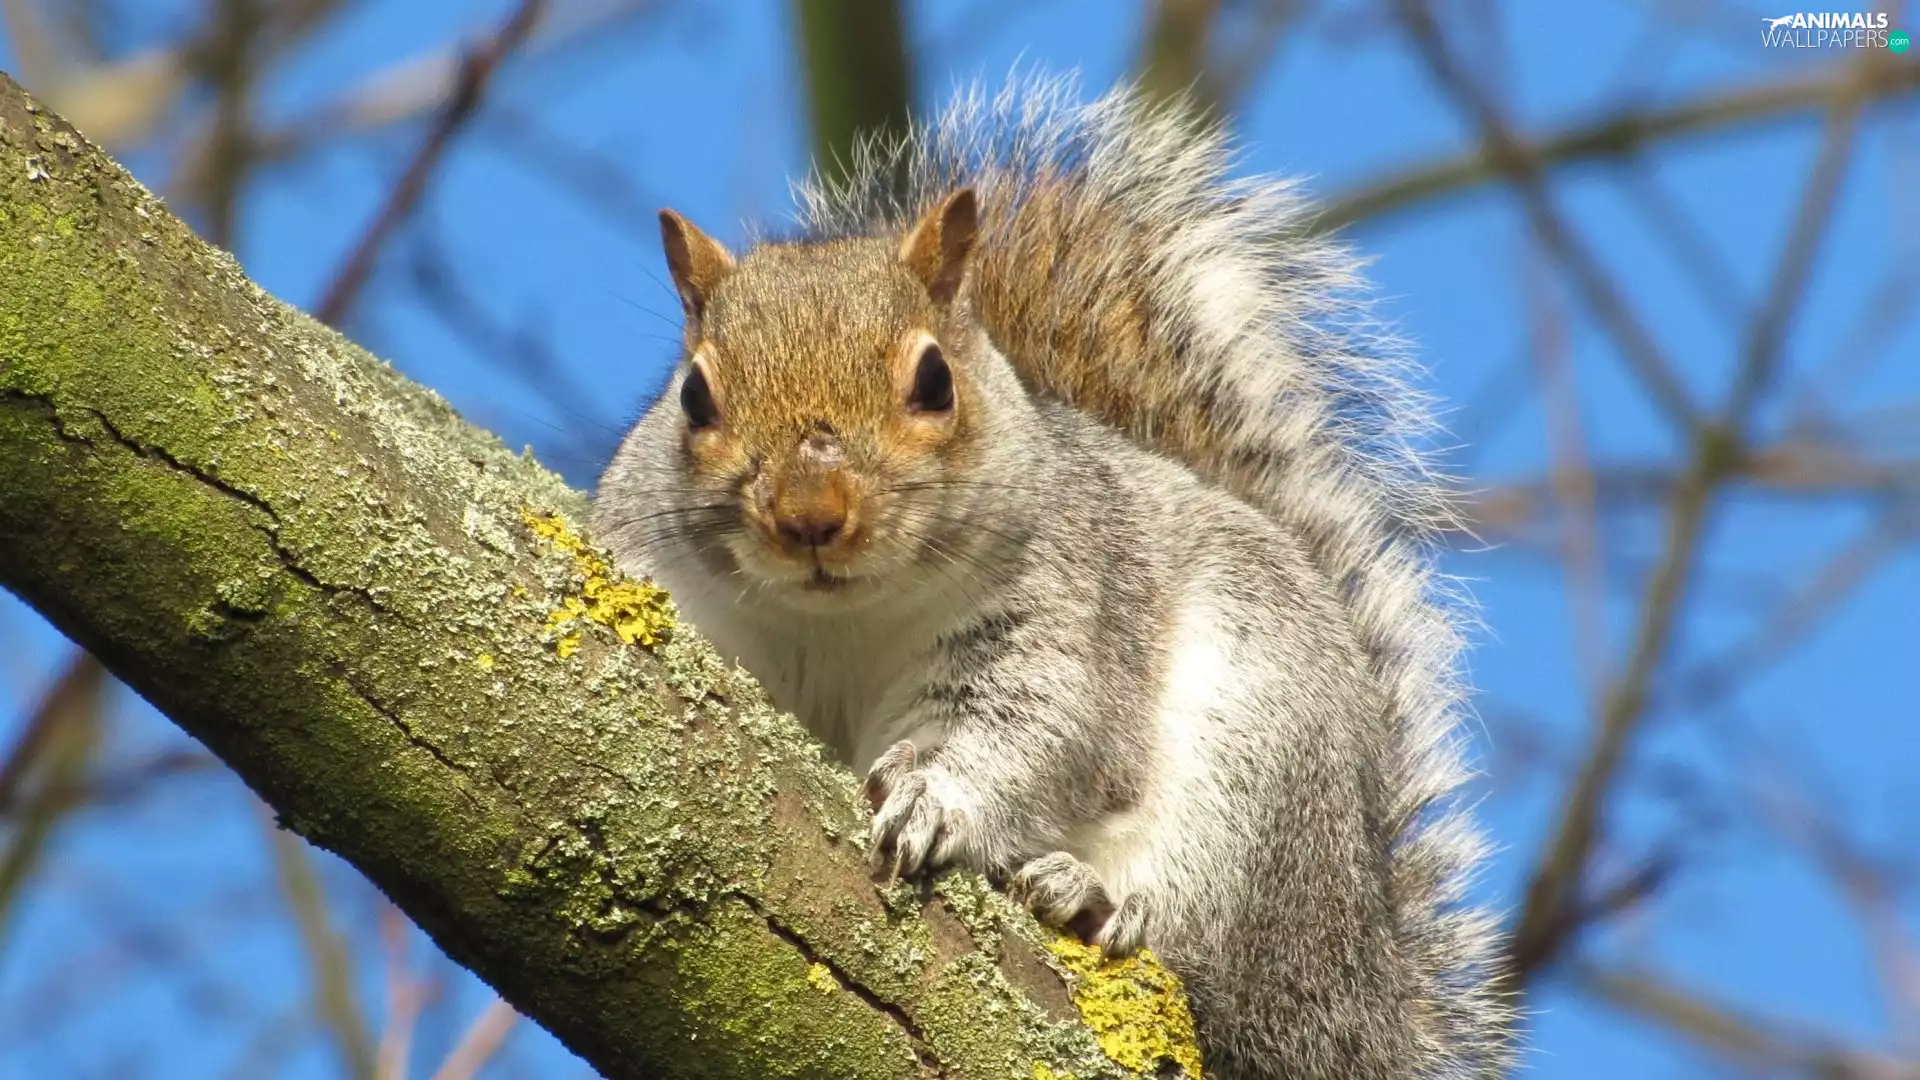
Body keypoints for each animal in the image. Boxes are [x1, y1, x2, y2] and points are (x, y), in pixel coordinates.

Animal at [595, 77, 1512, 1079]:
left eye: (934, 381)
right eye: (693, 397)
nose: (809, 517)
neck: (840, 619)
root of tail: (1368, 1001)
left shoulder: (1062, 611)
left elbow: (1039, 731)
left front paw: (934, 800)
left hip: (1264, 770)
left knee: (1216, 971)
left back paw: (1098, 901)